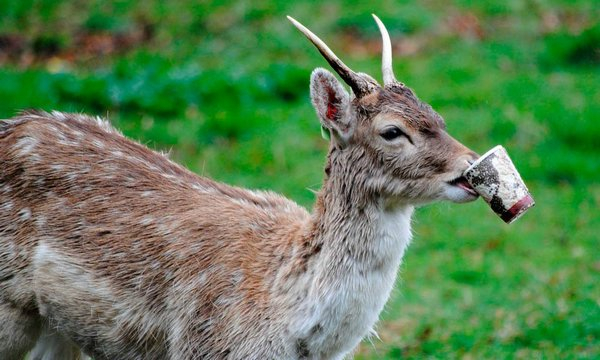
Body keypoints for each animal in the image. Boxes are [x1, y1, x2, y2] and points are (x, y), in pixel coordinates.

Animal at [0, 14, 478, 360]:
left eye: (438, 116)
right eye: (392, 131)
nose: (471, 168)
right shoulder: (200, 344)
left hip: (58, 328)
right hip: (10, 310)